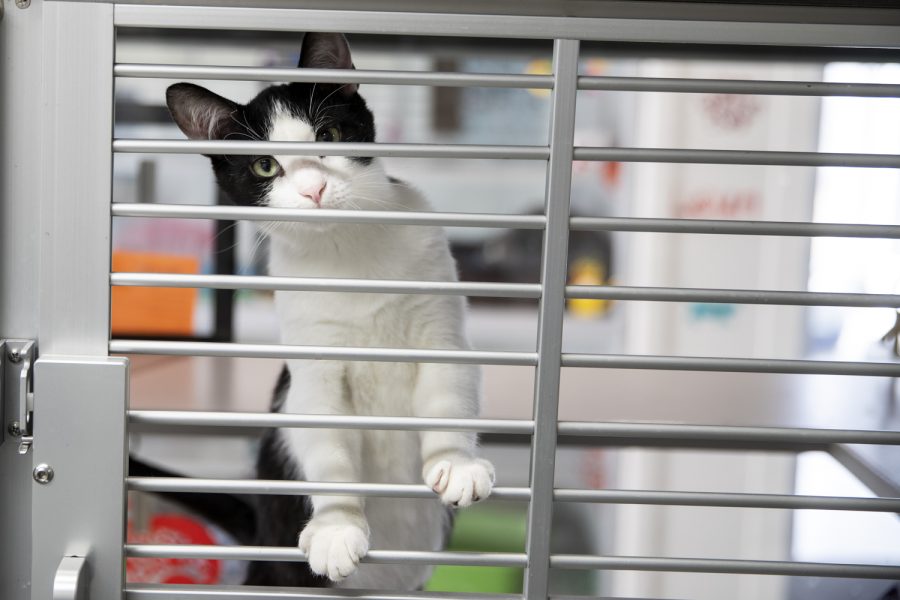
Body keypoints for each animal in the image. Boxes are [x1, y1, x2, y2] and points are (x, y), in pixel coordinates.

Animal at [165, 30, 496, 588]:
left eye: (331, 134)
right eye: (265, 165)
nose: (313, 188)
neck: (347, 250)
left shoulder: (439, 321)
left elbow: (449, 389)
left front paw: (457, 463)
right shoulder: (312, 365)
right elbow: (326, 441)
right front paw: (337, 528)